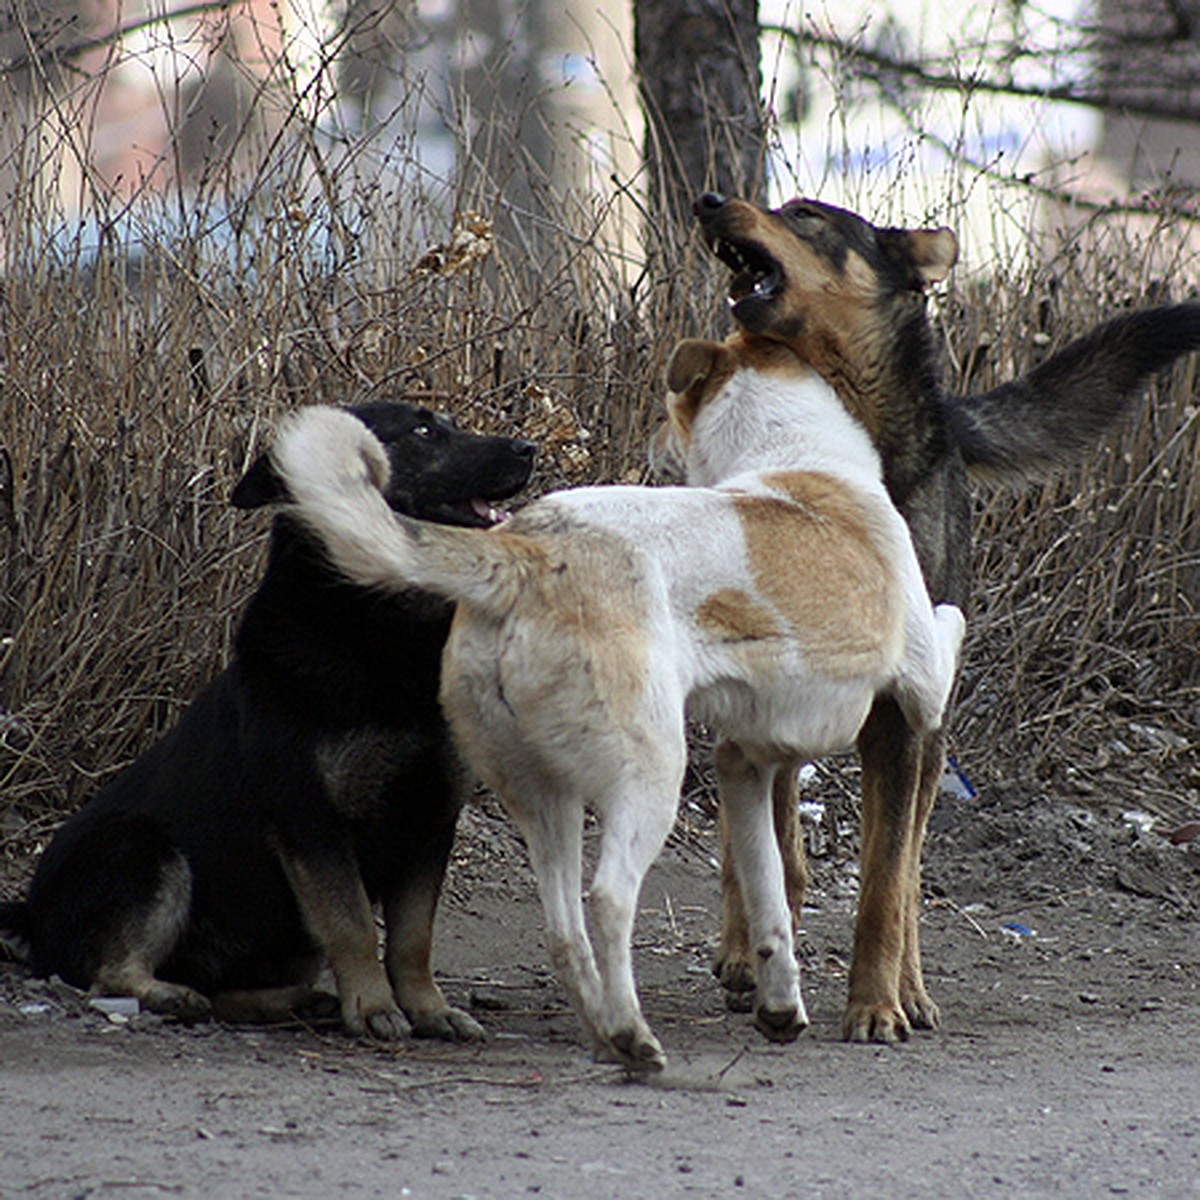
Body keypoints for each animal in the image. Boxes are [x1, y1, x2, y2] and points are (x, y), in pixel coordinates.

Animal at [0, 405, 535, 1041]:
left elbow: (412, 938)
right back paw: (172, 994)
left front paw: (427, 1008)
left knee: (227, 989)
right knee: (108, 975)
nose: (527, 449)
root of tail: (28, 912)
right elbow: (354, 924)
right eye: (423, 431)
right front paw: (373, 1007)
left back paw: (291, 1002)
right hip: (143, 846)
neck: (378, 634)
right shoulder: (311, 820)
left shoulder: (429, 819)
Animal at [691, 189, 1200, 1041]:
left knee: (903, 866)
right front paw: (767, 957)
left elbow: (885, 884)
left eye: (804, 214)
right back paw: (743, 951)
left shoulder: (904, 724)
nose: (708, 200)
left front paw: (876, 1004)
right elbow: (776, 850)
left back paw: (911, 987)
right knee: (759, 837)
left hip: (927, 742)